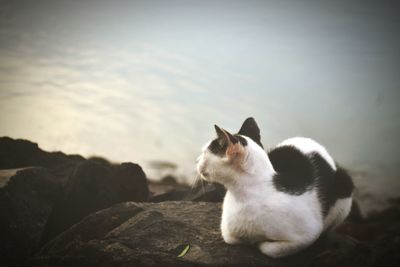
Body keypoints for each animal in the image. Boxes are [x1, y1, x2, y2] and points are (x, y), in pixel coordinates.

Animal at [197, 118, 354, 260]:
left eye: (205, 153)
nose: (197, 161)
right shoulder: (228, 231)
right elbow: (231, 237)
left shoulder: (309, 234)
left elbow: (268, 249)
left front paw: (258, 242)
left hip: (345, 191)